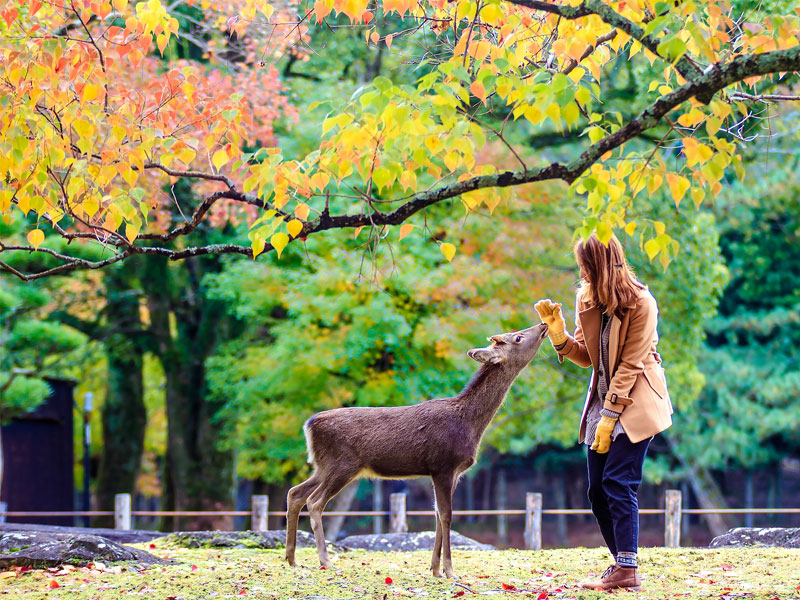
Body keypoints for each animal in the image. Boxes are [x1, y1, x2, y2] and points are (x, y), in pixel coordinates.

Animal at [282, 324, 552, 580]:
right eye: (517, 337)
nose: (542, 326)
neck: (470, 424)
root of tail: (309, 425)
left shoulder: (452, 472)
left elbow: (437, 515)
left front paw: (434, 569)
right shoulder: (443, 465)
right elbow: (447, 516)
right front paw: (450, 571)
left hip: (323, 466)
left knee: (295, 492)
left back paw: (292, 559)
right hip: (342, 464)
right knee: (314, 501)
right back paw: (325, 561)